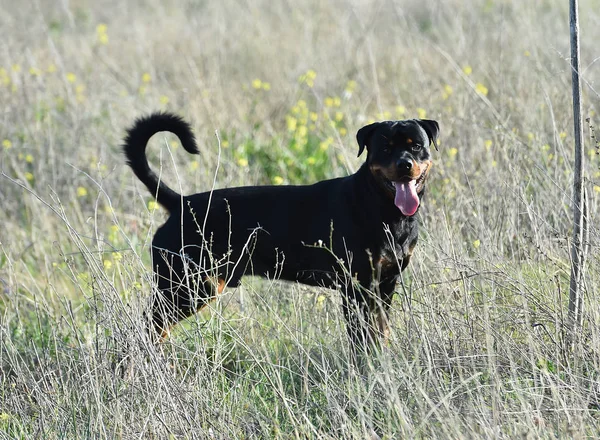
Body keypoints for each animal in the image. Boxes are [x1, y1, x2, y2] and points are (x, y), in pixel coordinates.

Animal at [123, 112, 440, 350]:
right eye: (385, 148)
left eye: (416, 146)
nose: (404, 165)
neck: (382, 208)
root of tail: (181, 202)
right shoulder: (355, 288)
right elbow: (361, 340)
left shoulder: (385, 284)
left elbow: (379, 334)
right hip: (186, 287)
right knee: (142, 330)